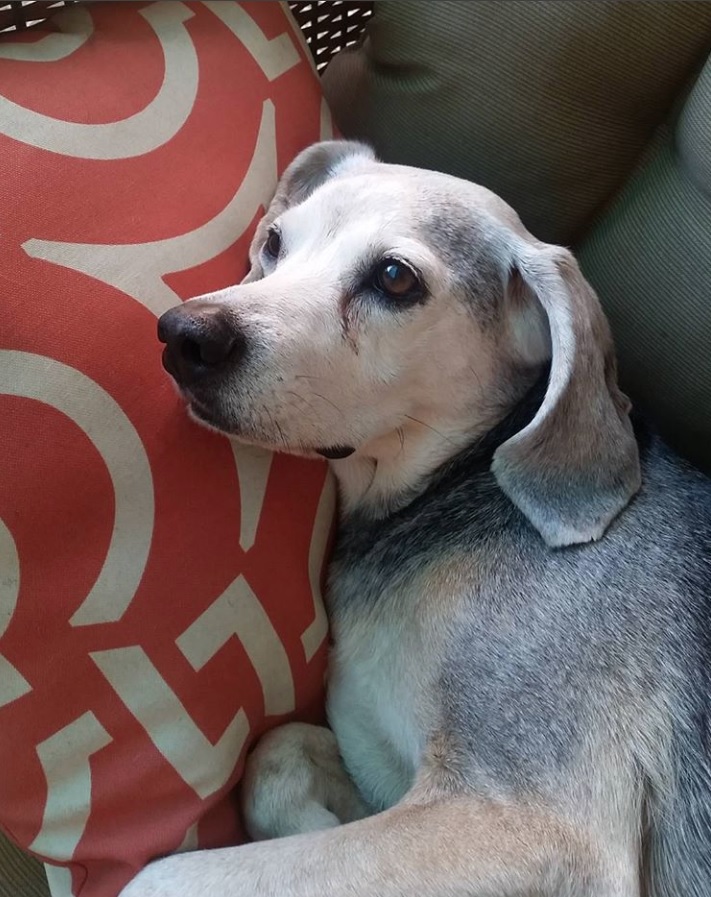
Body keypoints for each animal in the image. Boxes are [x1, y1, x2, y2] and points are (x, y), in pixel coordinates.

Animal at [122, 142, 711, 896]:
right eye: (276, 242)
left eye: (394, 278)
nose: (184, 335)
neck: (462, 485)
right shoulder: (375, 754)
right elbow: (278, 755)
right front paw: (313, 820)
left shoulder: (529, 822)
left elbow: (165, 878)